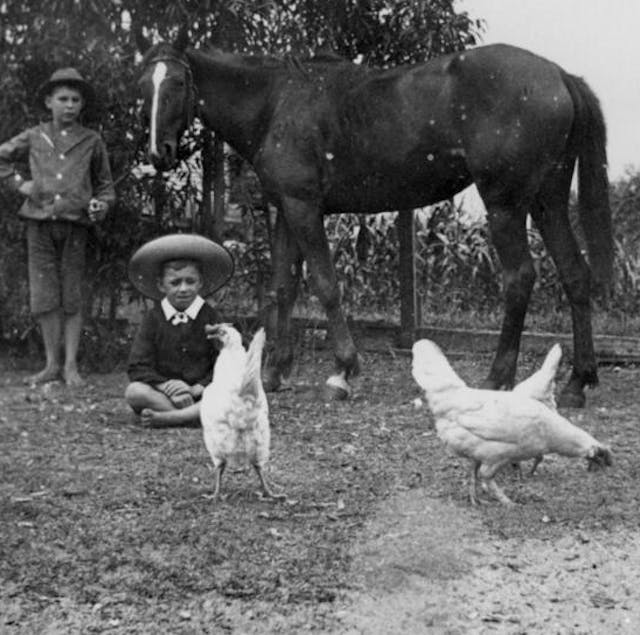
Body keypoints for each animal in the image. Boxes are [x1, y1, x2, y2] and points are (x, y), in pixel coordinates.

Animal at [141, 37, 616, 404]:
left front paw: (343, 371)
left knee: (520, 278)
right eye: (145, 85)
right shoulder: (287, 211)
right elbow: (284, 288)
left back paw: (498, 378)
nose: (158, 153)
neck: (276, 102)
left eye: (178, 83)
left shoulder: (304, 209)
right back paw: (578, 383)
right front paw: (275, 373)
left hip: (506, 205)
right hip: (547, 202)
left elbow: (325, 284)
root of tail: (558, 75)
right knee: (575, 275)